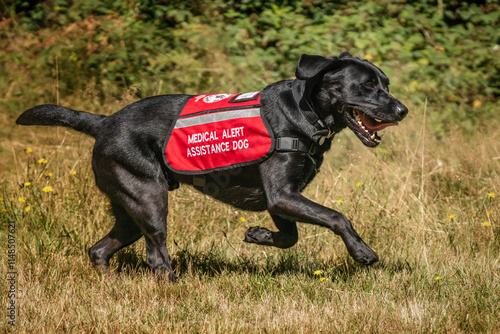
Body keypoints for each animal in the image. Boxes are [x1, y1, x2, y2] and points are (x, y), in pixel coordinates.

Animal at [16, 52, 406, 282]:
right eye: (367, 86)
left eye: (386, 83)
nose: (402, 110)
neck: (303, 112)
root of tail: (103, 122)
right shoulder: (282, 195)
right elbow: (337, 216)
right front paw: (362, 252)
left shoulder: (279, 198)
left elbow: (290, 237)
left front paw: (258, 235)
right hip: (149, 198)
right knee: (155, 255)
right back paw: (174, 287)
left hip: (129, 209)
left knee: (99, 249)